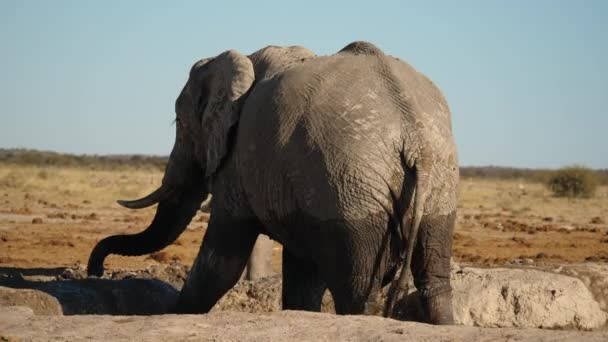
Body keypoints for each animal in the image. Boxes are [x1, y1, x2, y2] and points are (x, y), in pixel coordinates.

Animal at [88, 40, 458, 324]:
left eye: (179, 122)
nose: (97, 272)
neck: (245, 61)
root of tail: (415, 138)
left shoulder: (238, 158)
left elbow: (221, 262)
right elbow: (302, 275)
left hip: (351, 190)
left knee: (358, 287)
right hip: (433, 179)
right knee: (435, 280)